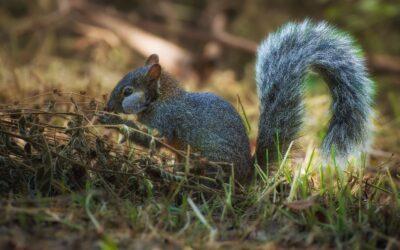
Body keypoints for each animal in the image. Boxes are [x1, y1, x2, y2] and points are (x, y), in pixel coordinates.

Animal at [101, 20, 374, 182]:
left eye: (127, 91)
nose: (108, 106)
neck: (160, 99)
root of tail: (245, 176)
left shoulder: (165, 121)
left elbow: (153, 139)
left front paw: (114, 123)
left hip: (211, 158)